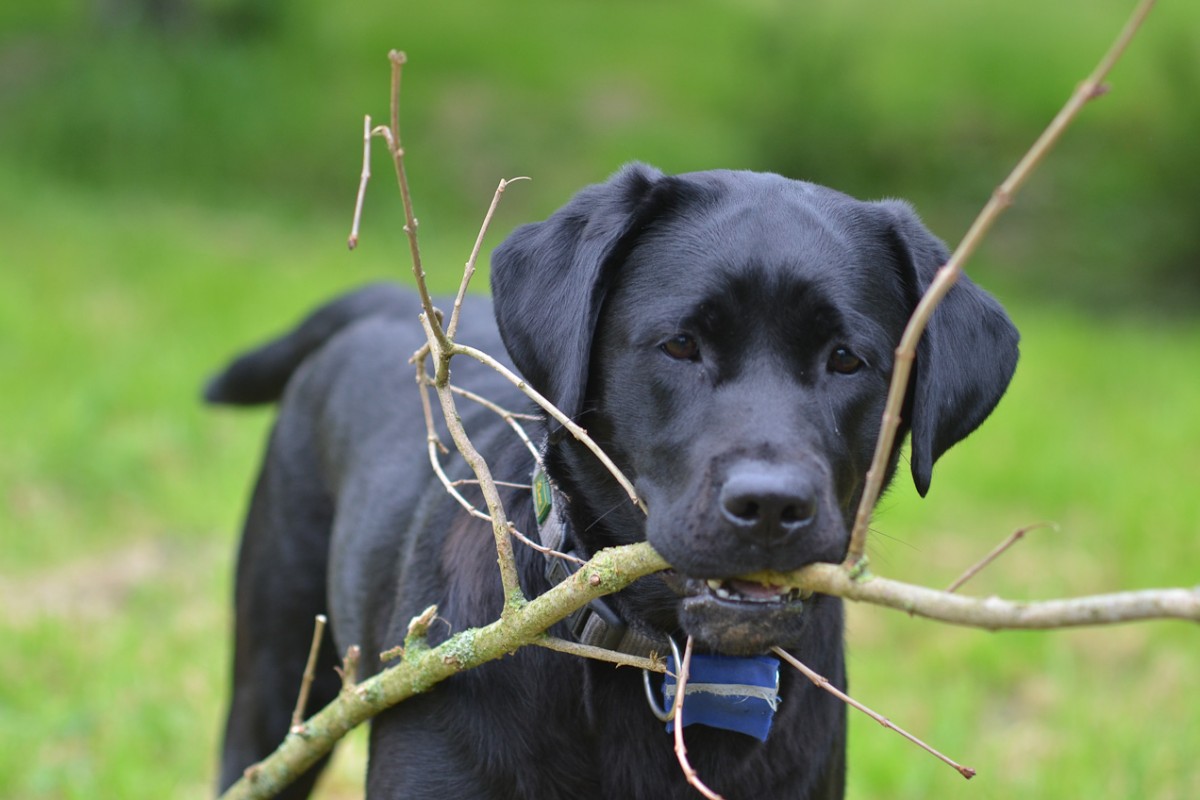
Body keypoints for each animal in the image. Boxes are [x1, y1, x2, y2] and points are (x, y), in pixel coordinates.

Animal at [211, 164, 1017, 800]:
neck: (662, 661)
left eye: (848, 359)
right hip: (277, 674)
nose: (769, 505)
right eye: (681, 345)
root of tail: (378, 299)